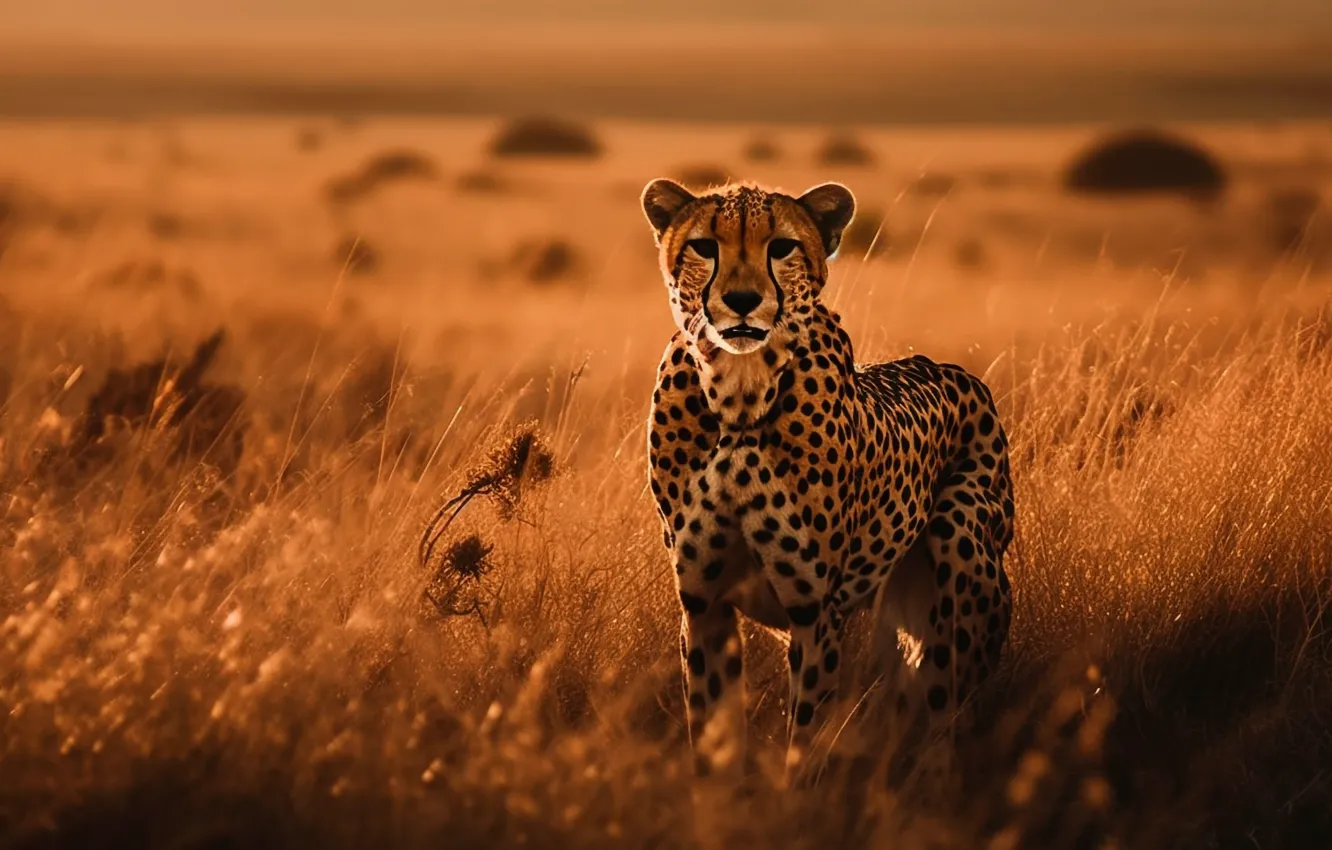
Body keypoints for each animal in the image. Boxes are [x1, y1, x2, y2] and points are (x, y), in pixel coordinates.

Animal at [640, 177, 1015, 792]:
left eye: (781, 248)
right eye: (703, 247)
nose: (741, 301)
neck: (740, 395)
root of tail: (956, 371)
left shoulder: (815, 611)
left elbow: (808, 731)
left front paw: (796, 803)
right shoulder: (703, 602)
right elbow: (713, 735)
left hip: (963, 551)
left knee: (945, 706)